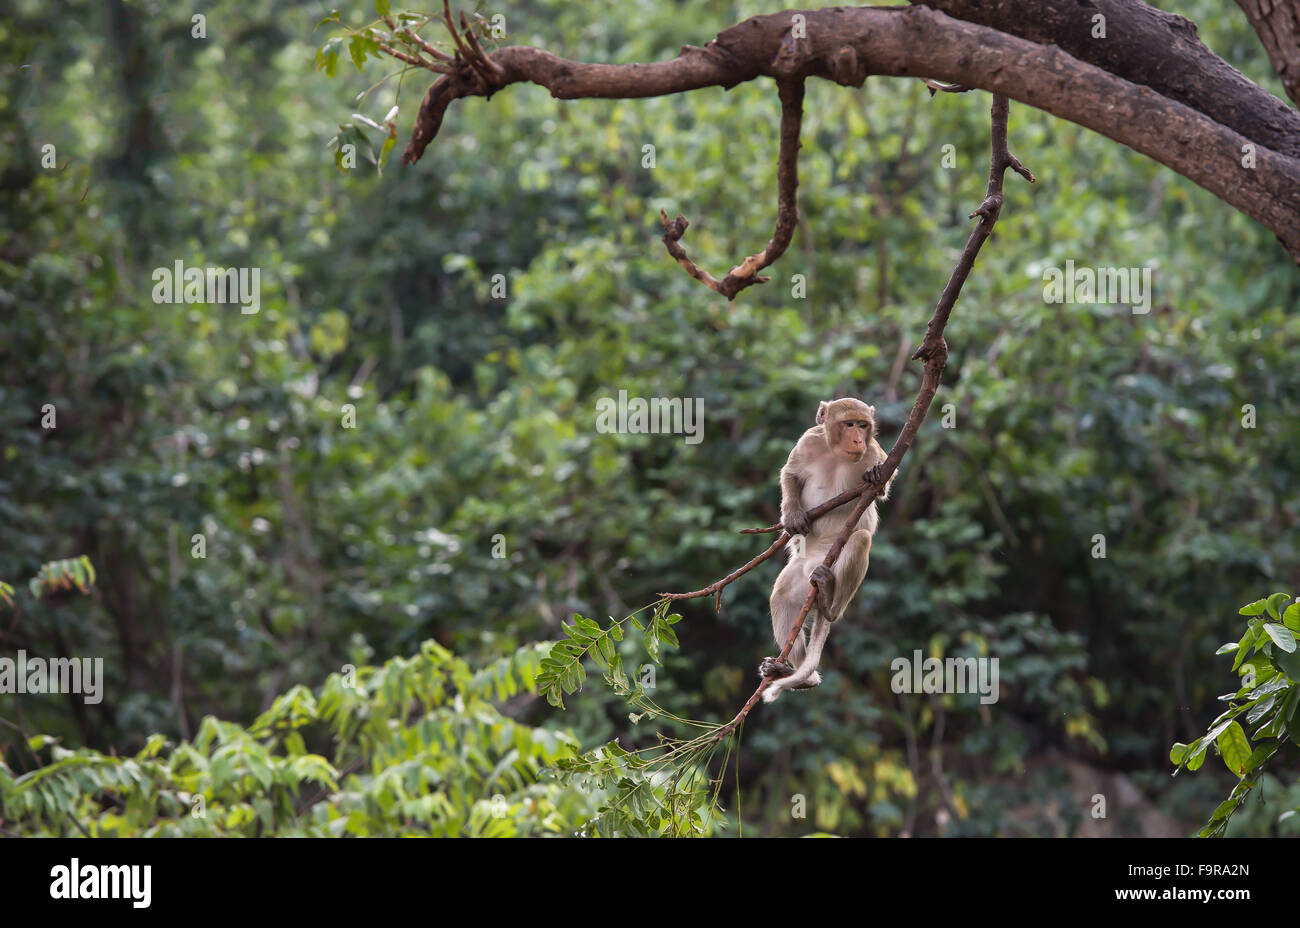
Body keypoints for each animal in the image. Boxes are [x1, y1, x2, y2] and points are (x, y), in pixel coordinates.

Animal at [759, 397, 894, 704]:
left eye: (863, 425)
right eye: (849, 424)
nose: (857, 439)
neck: (836, 454)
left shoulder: (874, 451)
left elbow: (882, 484)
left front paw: (874, 476)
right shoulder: (808, 440)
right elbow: (790, 473)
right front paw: (792, 514)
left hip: (835, 568)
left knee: (860, 539)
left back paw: (829, 603)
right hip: (800, 575)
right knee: (781, 597)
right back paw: (797, 676)